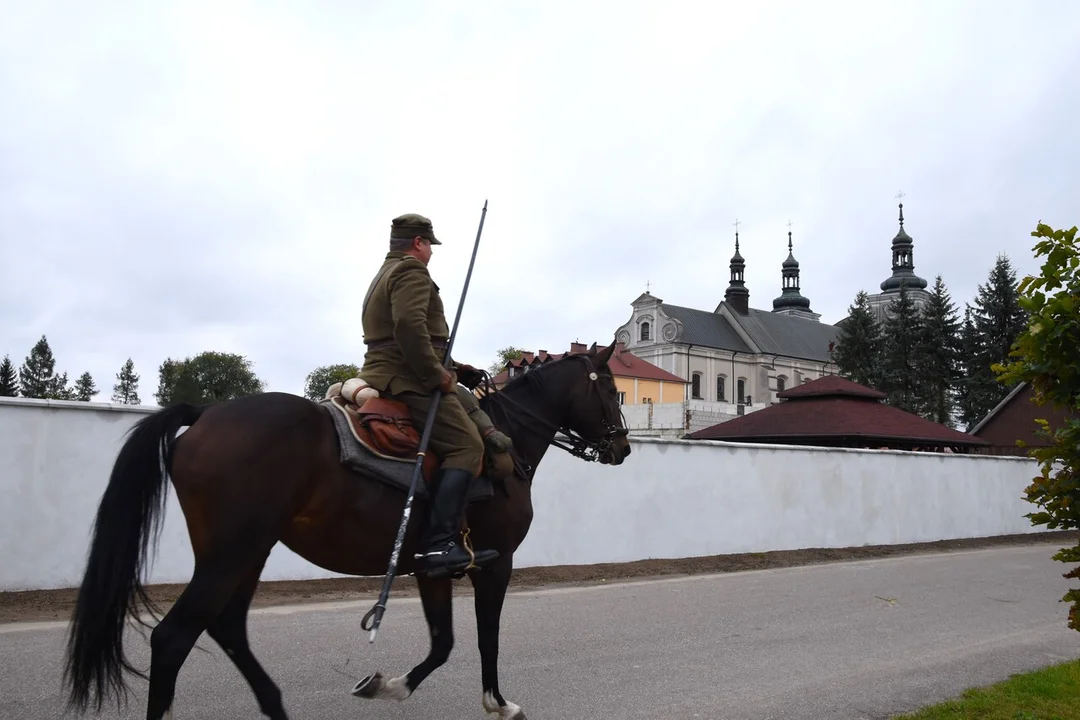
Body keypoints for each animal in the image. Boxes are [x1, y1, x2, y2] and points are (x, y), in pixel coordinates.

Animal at [61, 341, 630, 720]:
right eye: (612, 390)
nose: (622, 447)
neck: (504, 441)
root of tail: (204, 414)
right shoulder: (497, 564)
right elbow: (485, 635)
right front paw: (497, 702)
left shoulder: (431, 567)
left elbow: (443, 643)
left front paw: (387, 685)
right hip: (232, 554)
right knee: (173, 638)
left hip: (247, 554)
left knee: (227, 628)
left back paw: (276, 705)